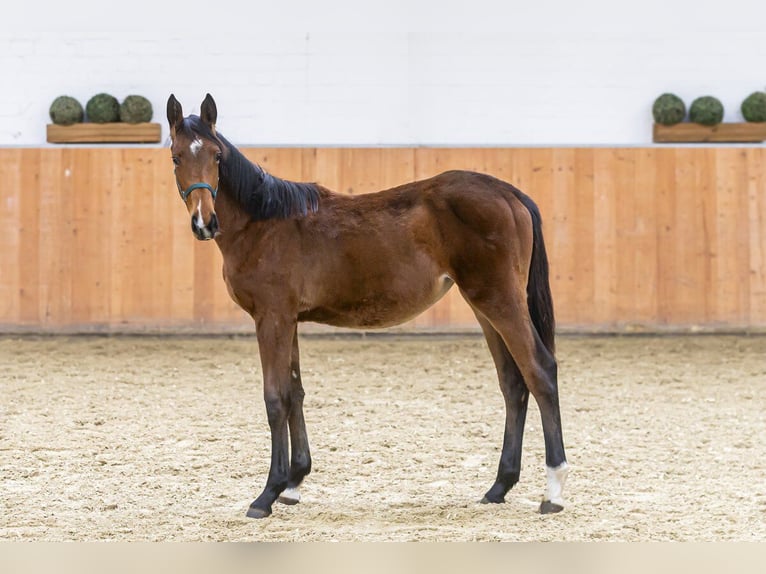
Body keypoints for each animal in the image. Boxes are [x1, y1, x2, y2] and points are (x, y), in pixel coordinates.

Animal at [166, 94, 568, 520]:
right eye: (176, 156)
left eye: (216, 155)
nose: (204, 222)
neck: (264, 222)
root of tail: (510, 194)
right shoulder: (288, 320)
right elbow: (295, 393)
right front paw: (293, 483)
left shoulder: (271, 318)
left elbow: (275, 399)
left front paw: (267, 495)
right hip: (485, 307)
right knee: (512, 383)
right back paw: (499, 486)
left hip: (500, 301)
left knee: (539, 372)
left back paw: (554, 491)